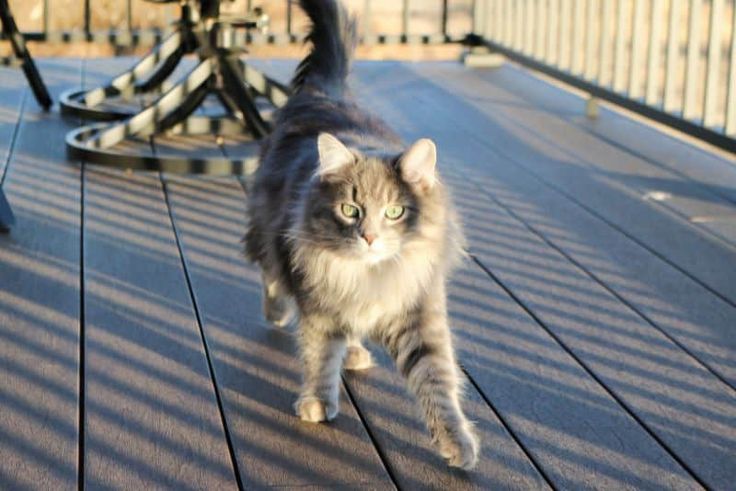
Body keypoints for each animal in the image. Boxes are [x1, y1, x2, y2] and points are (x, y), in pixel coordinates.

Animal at [244, 0, 480, 470]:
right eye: (350, 210)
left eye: (395, 211)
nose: (369, 237)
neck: (370, 275)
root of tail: (326, 93)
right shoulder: (320, 306)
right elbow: (319, 358)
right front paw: (318, 403)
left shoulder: (418, 311)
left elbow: (438, 382)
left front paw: (456, 442)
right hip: (268, 231)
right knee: (270, 273)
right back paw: (277, 312)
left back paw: (354, 352)